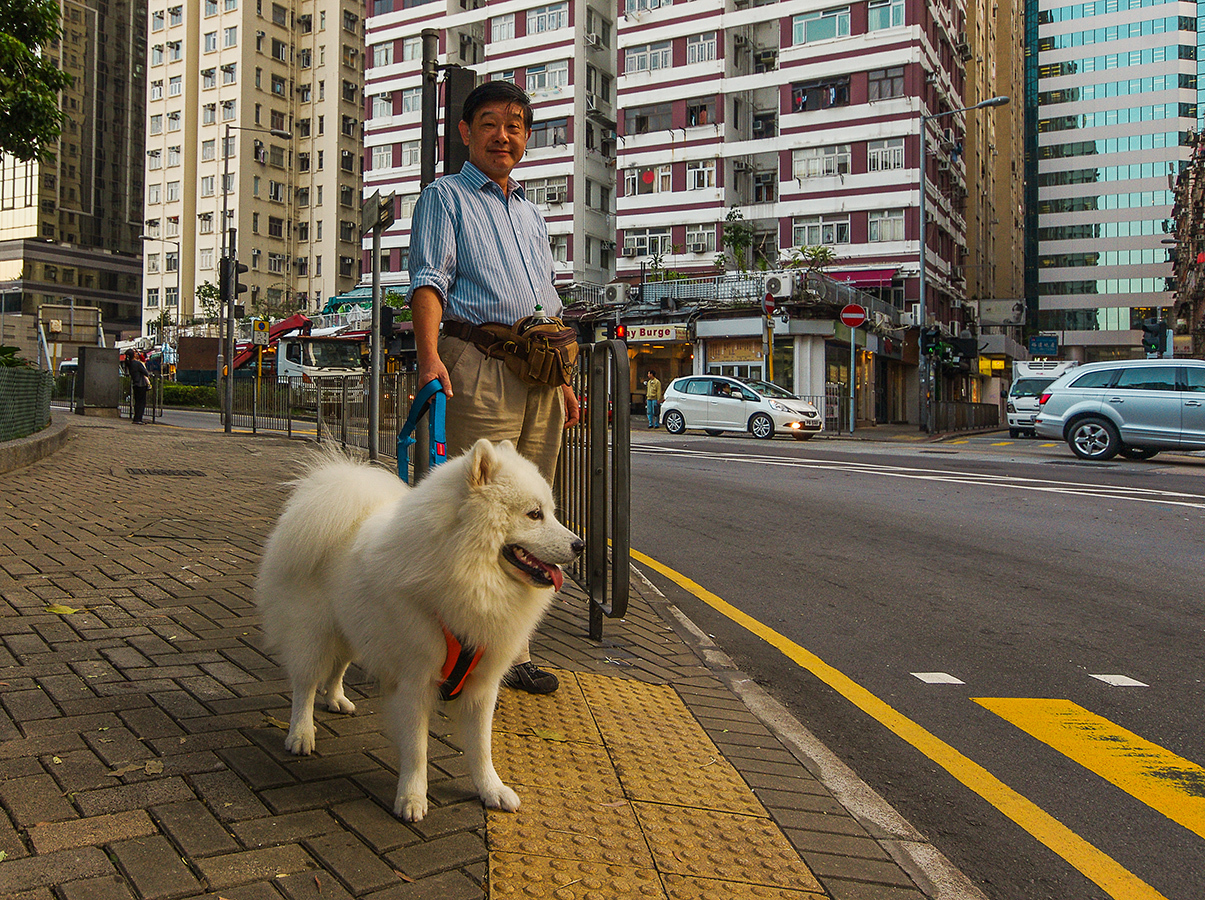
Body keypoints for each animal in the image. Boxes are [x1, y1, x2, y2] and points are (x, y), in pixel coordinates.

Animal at [256, 438, 585, 824]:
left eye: (552, 512)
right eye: (534, 514)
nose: (580, 545)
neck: (467, 573)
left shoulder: (482, 685)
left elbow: (482, 748)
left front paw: (491, 790)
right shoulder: (415, 682)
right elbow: (417, 749)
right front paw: (412, 798)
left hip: (354, 629)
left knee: (337, 668)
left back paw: (336, 698)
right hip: (314, 634)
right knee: (304, 685)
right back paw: (300, 734)